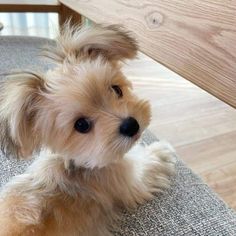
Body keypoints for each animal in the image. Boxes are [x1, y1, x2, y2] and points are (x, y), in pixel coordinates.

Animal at [0, 24, 175, 236]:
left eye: (116, 89)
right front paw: (160, 151)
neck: (77, 165)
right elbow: (150, 162)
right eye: (81, 125)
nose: (131, 125)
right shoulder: (133, 182)